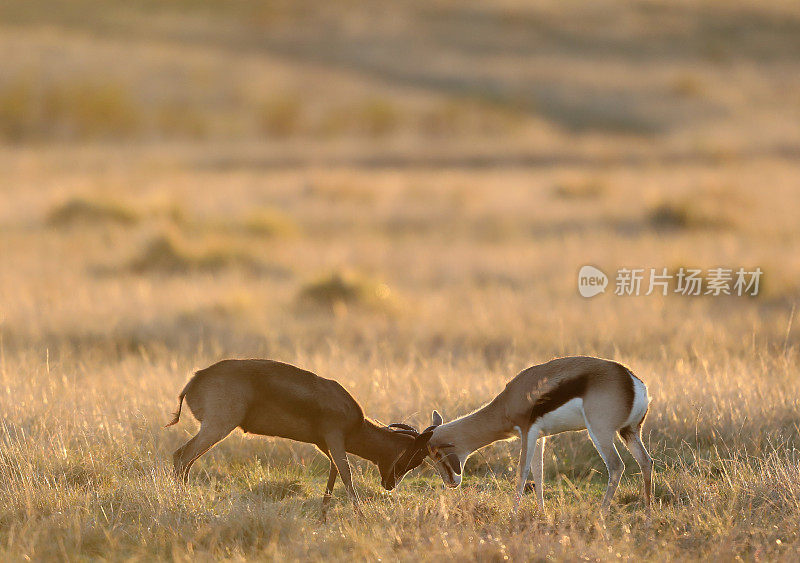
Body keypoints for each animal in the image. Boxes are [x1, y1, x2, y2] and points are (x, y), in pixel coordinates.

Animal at [165, 362, 434, 520]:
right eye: (416, 457)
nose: (390, 485)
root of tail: (196, 378)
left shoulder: (325, 444)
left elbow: (333, 474)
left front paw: (323, 517)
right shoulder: (334, 437)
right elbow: (346, 473)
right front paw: (361, 517)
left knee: (185, 462)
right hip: (217, 427)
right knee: (181, 457)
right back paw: (183, 504)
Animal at [400, 360, 656, 512]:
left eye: (435, 454)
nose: (450, 483)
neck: (507, 401)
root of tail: (633, 381)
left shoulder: (526, 431)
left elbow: (522, 471)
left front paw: (513, 513)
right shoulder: (541, 436)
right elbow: (539, 473)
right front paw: (541, 512)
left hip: (601, 433)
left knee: (616, 466)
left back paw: (601, 513)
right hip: (629, 431)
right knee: (646, 462)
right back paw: (647, 514)